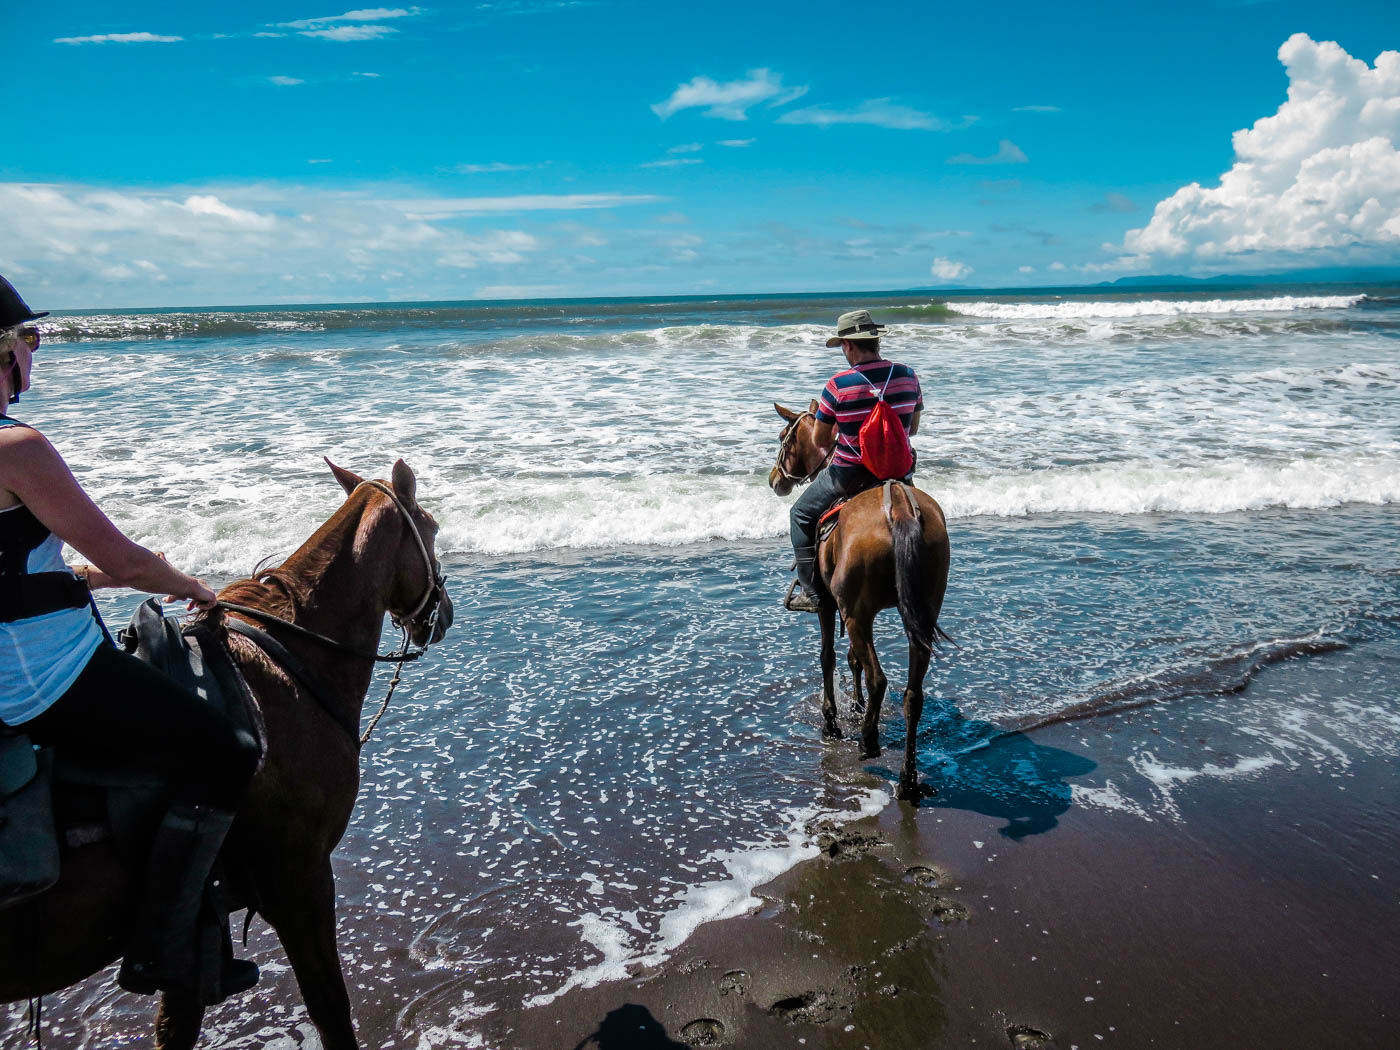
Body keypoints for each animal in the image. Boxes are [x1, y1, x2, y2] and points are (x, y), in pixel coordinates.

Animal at [0, 459, 450, 1050]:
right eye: (434, 528)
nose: (443, 612)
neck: (289, 660)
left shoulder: (193, 931)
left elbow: (176, 1023)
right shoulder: (299, 880)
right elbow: (330, 1008)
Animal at [767, 406, 952, 800]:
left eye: (783, 438)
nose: (775, 479)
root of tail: (900, 510)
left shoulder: (830, 606)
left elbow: (828, 658)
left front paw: (833, 721)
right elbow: (854, 660)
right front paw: (856, 707)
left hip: (854, 614)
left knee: (879, 678)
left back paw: (868, 741)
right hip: (918, 614)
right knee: (913, 695)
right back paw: (907, 779)